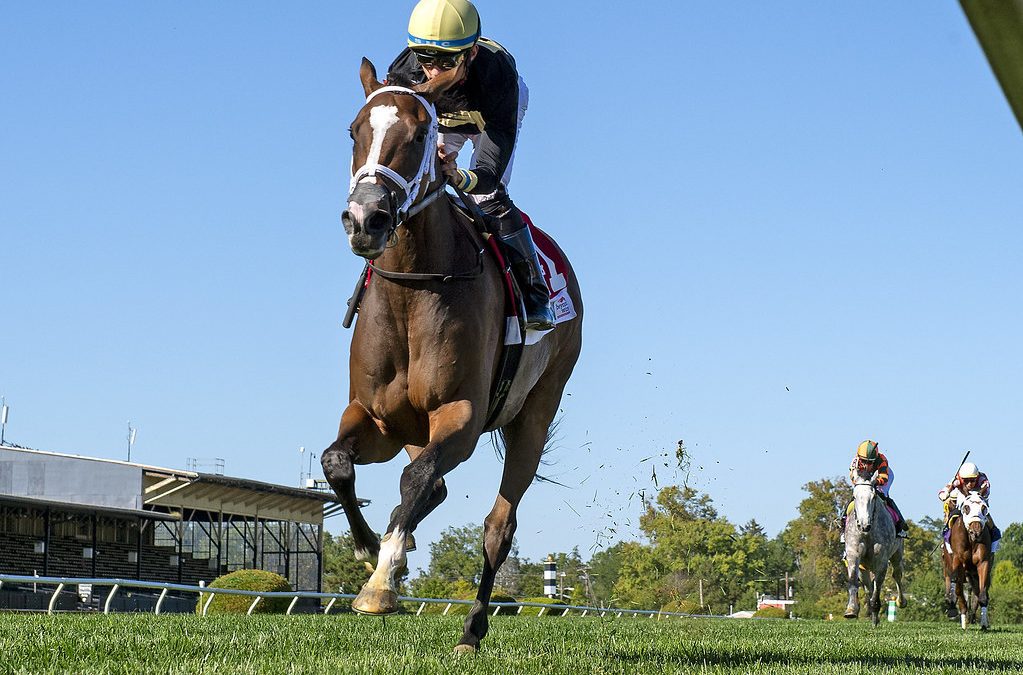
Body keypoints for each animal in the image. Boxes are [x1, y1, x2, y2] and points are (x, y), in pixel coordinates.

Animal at [320, 58, 583, 653]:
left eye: (422, 135)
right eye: (354, 130)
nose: (365, 218)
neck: (412, 289)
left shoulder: (460, 417)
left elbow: (416, 482)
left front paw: (380, 582)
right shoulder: (377, 418)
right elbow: (337, 462)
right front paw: (372, 552)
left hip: (536, 413)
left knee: (497, 525)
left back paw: (472, 627)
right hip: (417, 432)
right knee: (431, 486)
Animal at [843, 475, 905, 625]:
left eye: (873, 497)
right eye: (854, 496)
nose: (864, 525)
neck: (867, 533)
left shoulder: (881, 560)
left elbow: (878, 585)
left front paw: (875, 611)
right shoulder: (854, 555)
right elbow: (853, 580)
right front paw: (851, 609)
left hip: (897, 554)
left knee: (897, 574)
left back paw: (900, 602)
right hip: (864, 566)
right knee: (867, 585)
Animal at [942, 492, 993, 630]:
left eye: (984, 507)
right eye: (966, 507)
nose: (976, 531)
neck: (971, 541)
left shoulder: (983, 563)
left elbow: (982, 594)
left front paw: (983, 623)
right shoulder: (957, 563)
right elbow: (958, 590)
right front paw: (962, 616)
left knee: (977, 592)